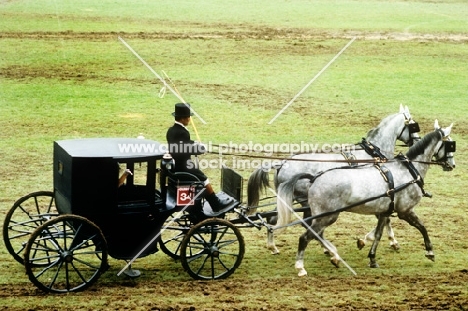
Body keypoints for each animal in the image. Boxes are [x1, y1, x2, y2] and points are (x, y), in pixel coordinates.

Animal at [249, 105, 420, 256]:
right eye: (413, 125)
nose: (418, 140)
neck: (372, 152)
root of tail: (282, 163)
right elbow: (385, 218)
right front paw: (391, 241)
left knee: (274, 218)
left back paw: (274, 246)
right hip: (304, 200)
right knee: (307, 223)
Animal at [276, 120, 456, 276]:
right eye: (450, 144)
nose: (452, 165)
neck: (408, 170)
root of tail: (314, 178)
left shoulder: (385, 211)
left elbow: (378, 233)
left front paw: (372, 257)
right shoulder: (405, 211)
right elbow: (422, 227)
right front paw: (430, 251)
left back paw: (331, 255)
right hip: (327, 216)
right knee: (306, 237)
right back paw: (302, 266)